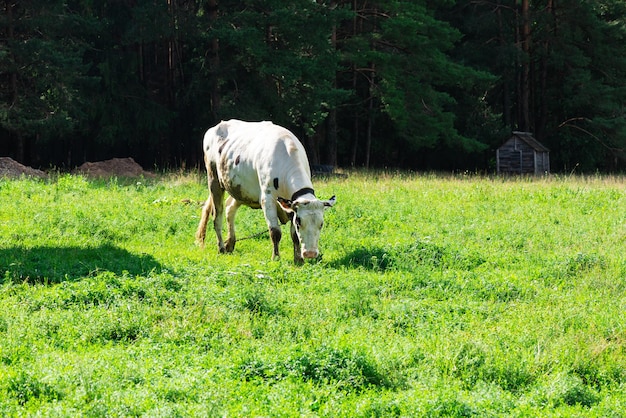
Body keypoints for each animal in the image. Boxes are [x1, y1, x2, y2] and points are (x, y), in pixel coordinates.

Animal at [195, 120, 334, 264]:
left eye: (321, 224)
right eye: (299, 222)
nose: (310, 253)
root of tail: (217, 126)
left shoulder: (290, 204)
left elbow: (294, 235)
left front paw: (298, 260)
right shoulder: (267, 199)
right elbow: (275, 232)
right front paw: (276, 258)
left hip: (239, 188)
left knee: (229, 208)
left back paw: (230, 244)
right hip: (214, 180)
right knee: (217, 216)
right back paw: (221, 248)